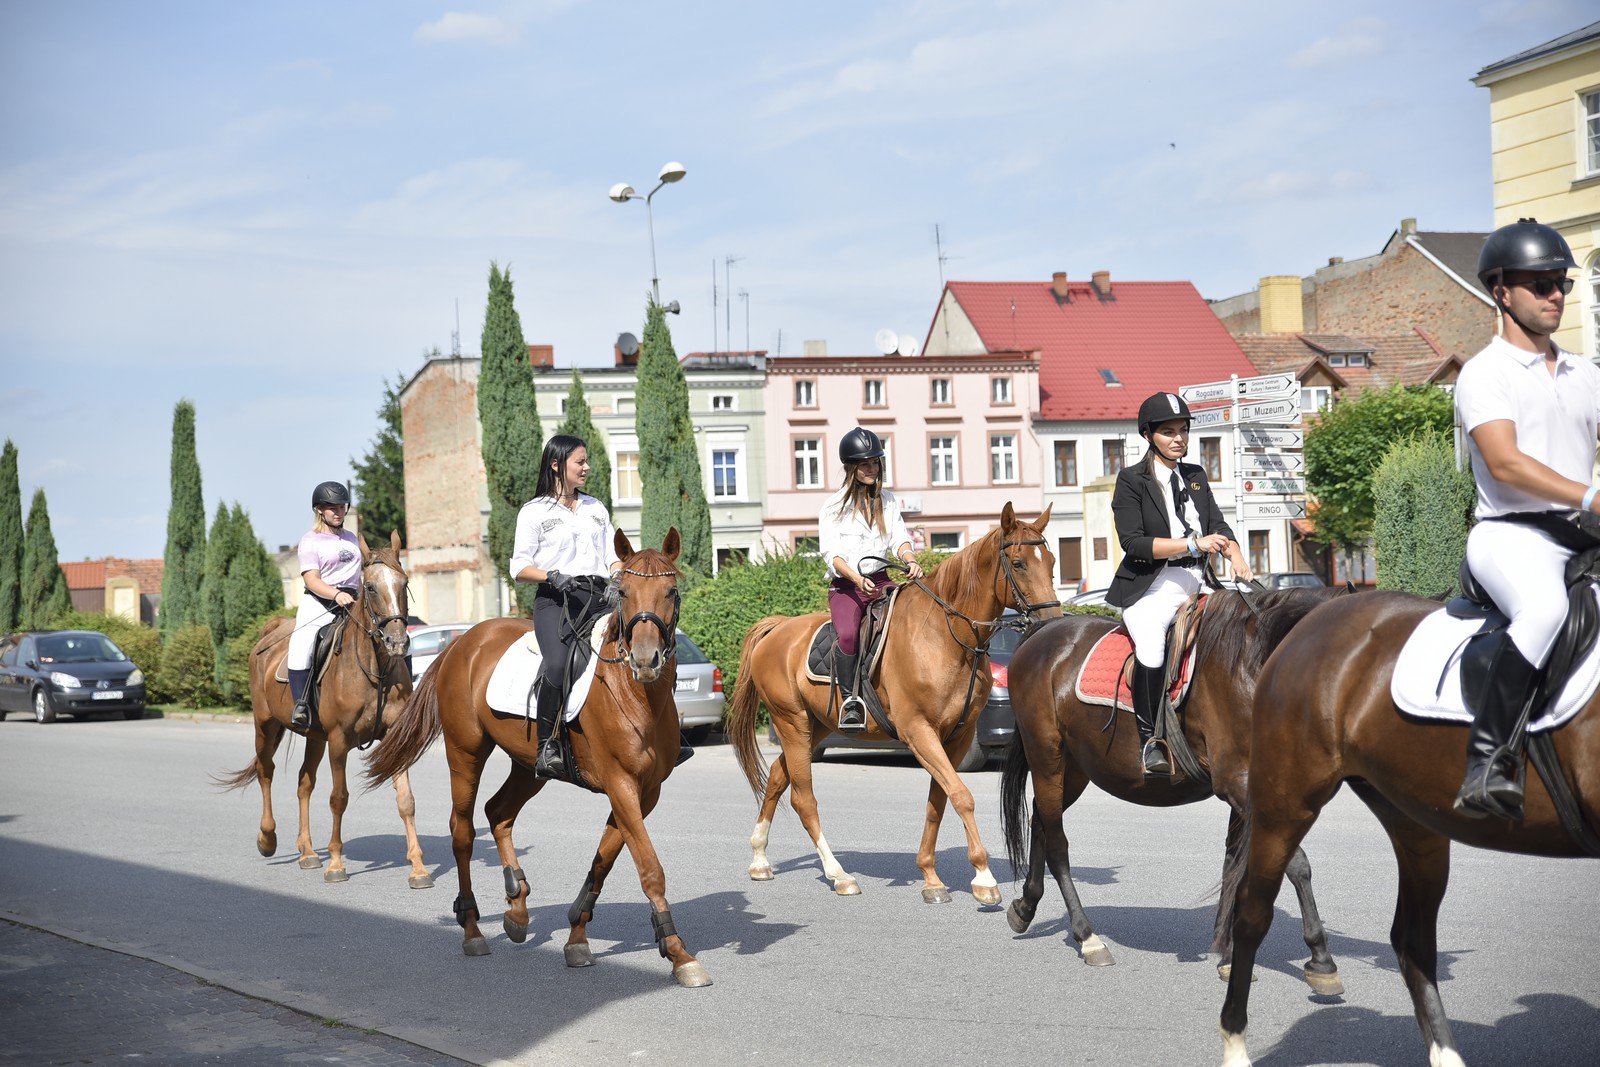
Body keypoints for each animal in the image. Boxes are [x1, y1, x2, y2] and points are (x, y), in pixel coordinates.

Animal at [219, 531, 435, 889]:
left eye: (404, 583)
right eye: (370, 586)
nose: (398, 643)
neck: (372, 667)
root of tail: (271, 630)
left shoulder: (393, 737)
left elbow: (406, 800)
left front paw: (418, 868)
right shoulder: (338, 741)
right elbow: (339, 798)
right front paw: (335, 864)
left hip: (314, 737)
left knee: (304, 783)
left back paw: (307, 852)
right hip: (265, 724)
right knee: (266, 772)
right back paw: (268, 839)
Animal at [371, 531, 710, 991]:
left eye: (671, 591)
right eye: (623, 592)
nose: (644, 660)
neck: (636, 695)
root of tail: (462, 641)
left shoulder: (644, 793)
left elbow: (603, 861)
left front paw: (578, 938)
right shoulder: (621, 785)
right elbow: (649, 867)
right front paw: (678, 953)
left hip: (529, 767)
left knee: (498, 813)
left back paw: (517, 907)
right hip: (466, 751)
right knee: (462, 830)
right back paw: (473, 929)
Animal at [729, 505, 1056, 908]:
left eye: (1051, 562)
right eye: (1019, 563)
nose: (1051, 623)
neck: (945, 638)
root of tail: (777, 629)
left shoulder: (956, 737)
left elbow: (938, 801)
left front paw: (931, 877)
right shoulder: (918, 732)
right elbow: (961, 796)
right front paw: (983, 878)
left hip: (815, 727)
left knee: (776, 777)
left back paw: (759, 858)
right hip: (791, 724)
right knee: (804, 800)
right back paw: (839, 875)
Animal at [998, 585, 1350, 991]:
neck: (1252, 667)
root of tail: (1042, 632)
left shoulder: (1248, 790)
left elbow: (1235, 863)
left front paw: (1229, 955)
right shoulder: (1239, 783)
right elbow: (1296, 864)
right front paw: (1320, 958)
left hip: (1071, 770)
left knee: (1041, 821)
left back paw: (1025, 906)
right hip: (1046, 758)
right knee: (1056, 843)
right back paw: (1087, 937)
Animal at [1222, 591, 1600, 1067]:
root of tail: (1312, 619)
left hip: (1416, 820)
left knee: (1411, 941)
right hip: (1286, 804)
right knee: (1253, 914)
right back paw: (1236, 1042)